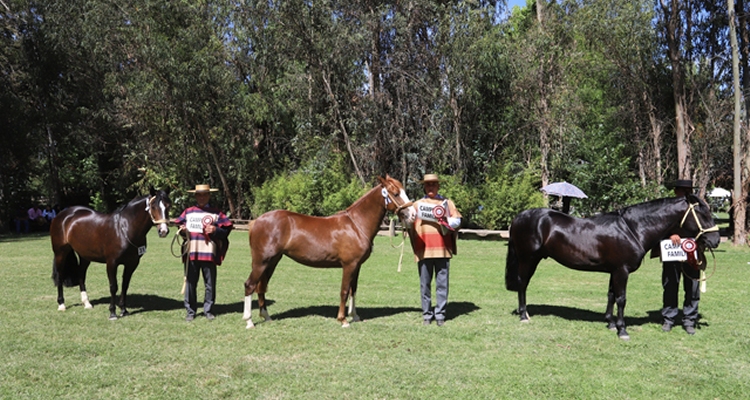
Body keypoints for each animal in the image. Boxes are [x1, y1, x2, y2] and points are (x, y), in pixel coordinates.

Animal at [50, 189, 171, 320]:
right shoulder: (112, 263)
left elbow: (125, 285)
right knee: (60, 277)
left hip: (85, 256)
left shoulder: (132, 263)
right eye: (153, 207)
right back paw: (61, 304)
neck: (124, 228)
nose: (163, 231)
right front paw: (112, 313)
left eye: (168, 206)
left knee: (81, 275)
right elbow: (114, 287)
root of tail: (63, 214)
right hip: (60, 253)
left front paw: (124, 310)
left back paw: (87, 303)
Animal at [244, 175, 418, 328]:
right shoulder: (349, 265)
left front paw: (354, 315)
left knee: (261, 286)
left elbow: (353, 290)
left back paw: (266, 317)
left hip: (272, 261)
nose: (413, 215)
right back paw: (249, 321)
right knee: (250, 285)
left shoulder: (357, 266)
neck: (356, 225)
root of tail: (256, 221)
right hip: (261, 262)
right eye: (396, 193)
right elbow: (344, 291)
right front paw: (343, 320)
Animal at [506, 195, 724, 340]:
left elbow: (611, 295)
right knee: (522, 283)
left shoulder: (614, 271)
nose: (715, 240)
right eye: (702, 213)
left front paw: (610, 324)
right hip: (528, 259)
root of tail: (519, 217)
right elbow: (621, 299)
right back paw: (524, 315)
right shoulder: (622, 271)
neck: (632, 228)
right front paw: (622, 330)